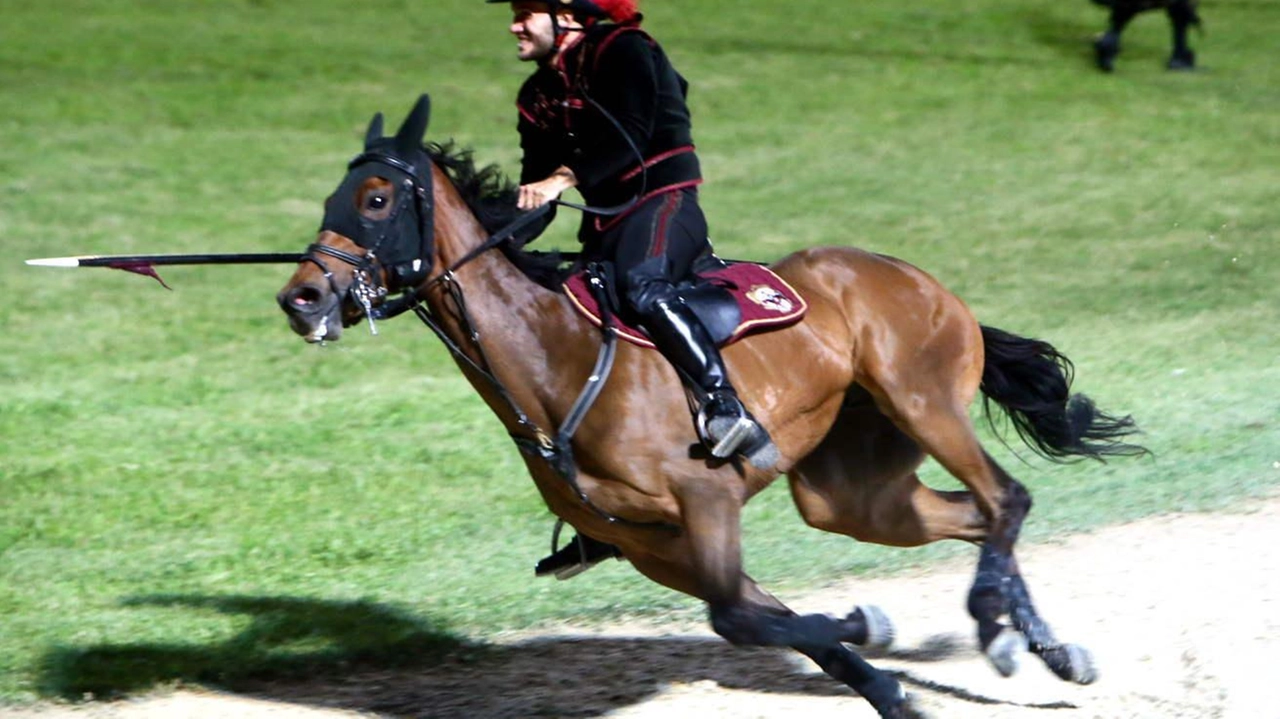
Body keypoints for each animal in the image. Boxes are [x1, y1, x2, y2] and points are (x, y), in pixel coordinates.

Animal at [277, 95, 1141, 716]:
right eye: (331, 195)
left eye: (376, 198)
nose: (301, 296)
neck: (554, 360)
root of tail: (911, 274)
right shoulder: (655, 544)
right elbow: (752, 613)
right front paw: (884, 679)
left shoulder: (706, 501)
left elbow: (739, 617)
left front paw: (867, 622)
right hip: (850, 493)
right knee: (974, 512)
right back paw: (1036, 644)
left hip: (922, 402)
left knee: (1006, 497)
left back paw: (1000, 628)